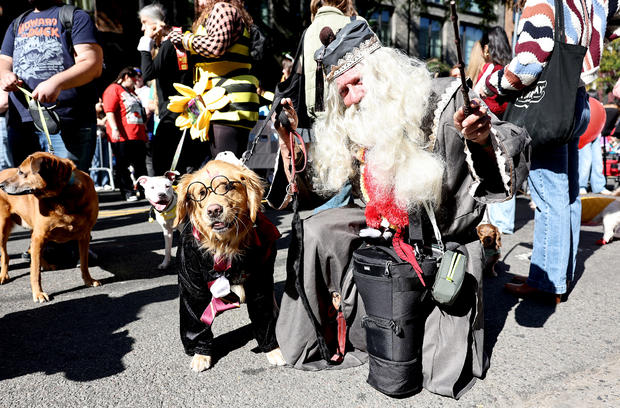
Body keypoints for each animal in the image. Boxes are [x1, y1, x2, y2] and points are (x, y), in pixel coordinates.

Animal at [0, 151, 99, 302]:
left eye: (21, 172)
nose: (1, 185)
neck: (62, 196)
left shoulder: (84, 236)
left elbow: (84, 262)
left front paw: (88, 280)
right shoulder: (39, 235)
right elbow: (35, 271)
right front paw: (38, 293)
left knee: (33, 252)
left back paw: (46, 265)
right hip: (3, 227)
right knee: (6, 255)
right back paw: (3, 275)